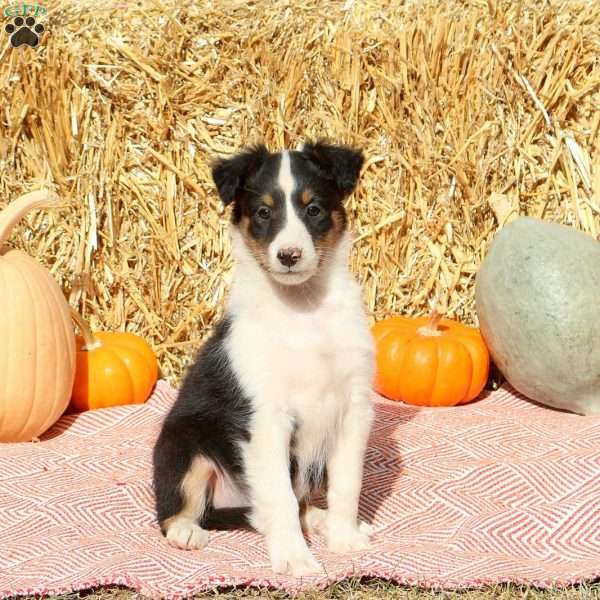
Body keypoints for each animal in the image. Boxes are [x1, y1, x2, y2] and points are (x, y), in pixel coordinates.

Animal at [151, 141, 376, 576]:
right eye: (263, 213)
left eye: (313, 209)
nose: (288, 255)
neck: (303, 308)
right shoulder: (266, 418)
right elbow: (280, 496)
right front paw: (295, 559)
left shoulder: (352, 407)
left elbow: (347, 483)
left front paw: (345, 539)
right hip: (183, 444)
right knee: (177, 509)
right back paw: (186, 531)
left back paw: (320, 520)